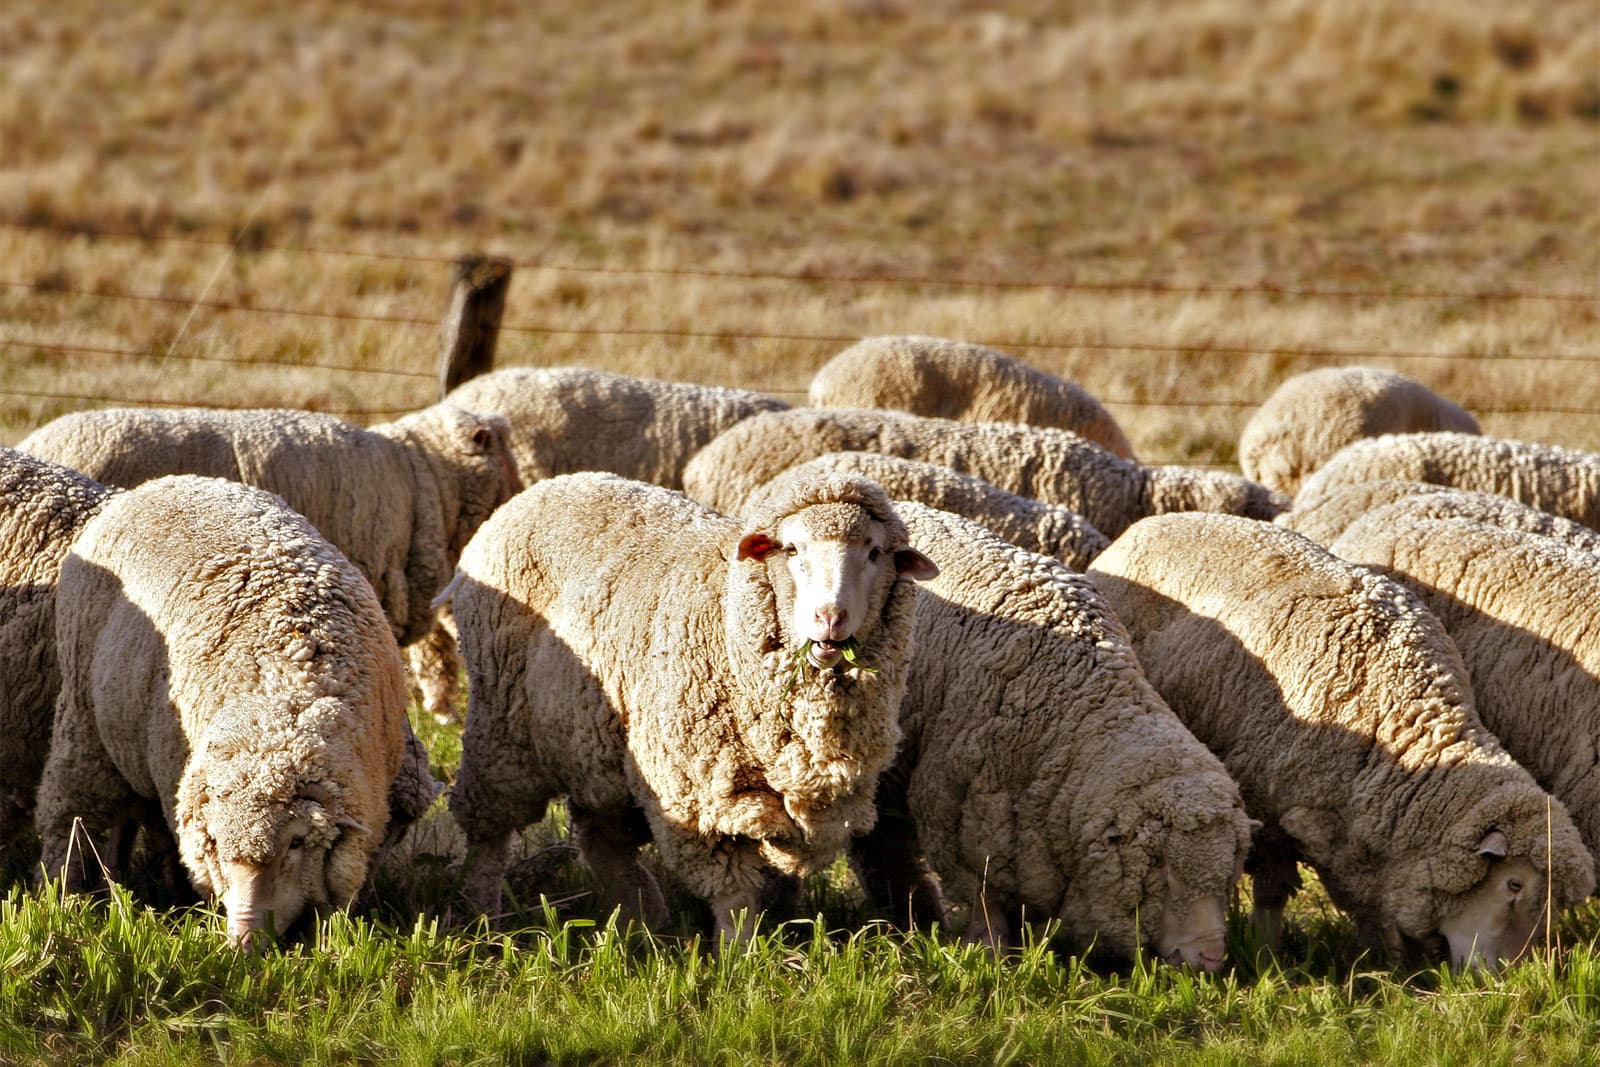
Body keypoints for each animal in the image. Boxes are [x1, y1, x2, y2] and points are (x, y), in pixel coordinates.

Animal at [35, 475, 415, 946]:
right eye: (215, 843)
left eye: (296, 842)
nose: (243, 941)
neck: (286, 698)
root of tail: (158, 482)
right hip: (83, 717)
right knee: (69, 813)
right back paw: (62, 895)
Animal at [445, 470, 938, 940]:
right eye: (792, 549)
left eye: (875, 553)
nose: (830, 619)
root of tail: (541, 488)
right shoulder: (697, 794)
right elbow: (733, 894)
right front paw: (740, 955)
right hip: (500, 723)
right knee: (490, 832)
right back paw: (484, 915)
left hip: (595, 744)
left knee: (602, 835)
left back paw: (640, 919)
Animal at [848, 503, 1254, 969]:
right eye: (1165, 876)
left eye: (1228, 875)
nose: (1211, 957)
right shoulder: (962, 819)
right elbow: (985, 899)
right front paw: (989, 952)